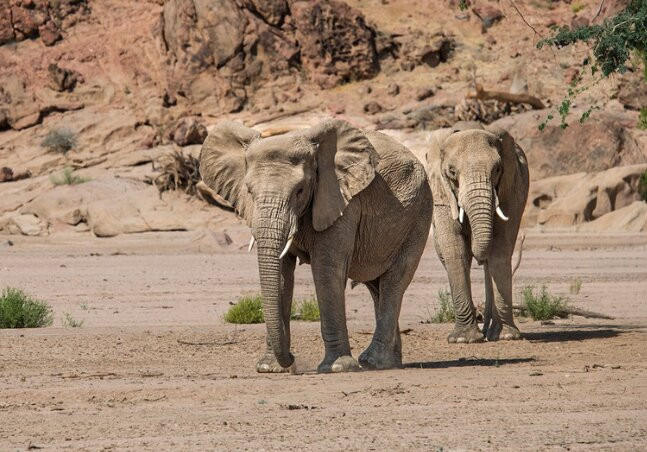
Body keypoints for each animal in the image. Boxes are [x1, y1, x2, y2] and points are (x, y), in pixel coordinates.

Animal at [200, 119, 432, 373]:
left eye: (300, 190)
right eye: (249, 192)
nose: (292, 359)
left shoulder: (341, 199)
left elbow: (326, 269)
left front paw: (337, 367)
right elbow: (282, 275)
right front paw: (270, 368)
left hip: (419, 213)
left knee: (394, 281)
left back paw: (373, 361)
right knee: (376, 286)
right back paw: (389, 363)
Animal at [425, 121, 529, 343]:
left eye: (497, 169)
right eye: (452, 172)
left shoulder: (510, 189)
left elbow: (499, 248)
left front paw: (507, 336)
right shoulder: (441, 193)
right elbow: (456, 251)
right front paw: (464, 339)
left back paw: (492, 332)